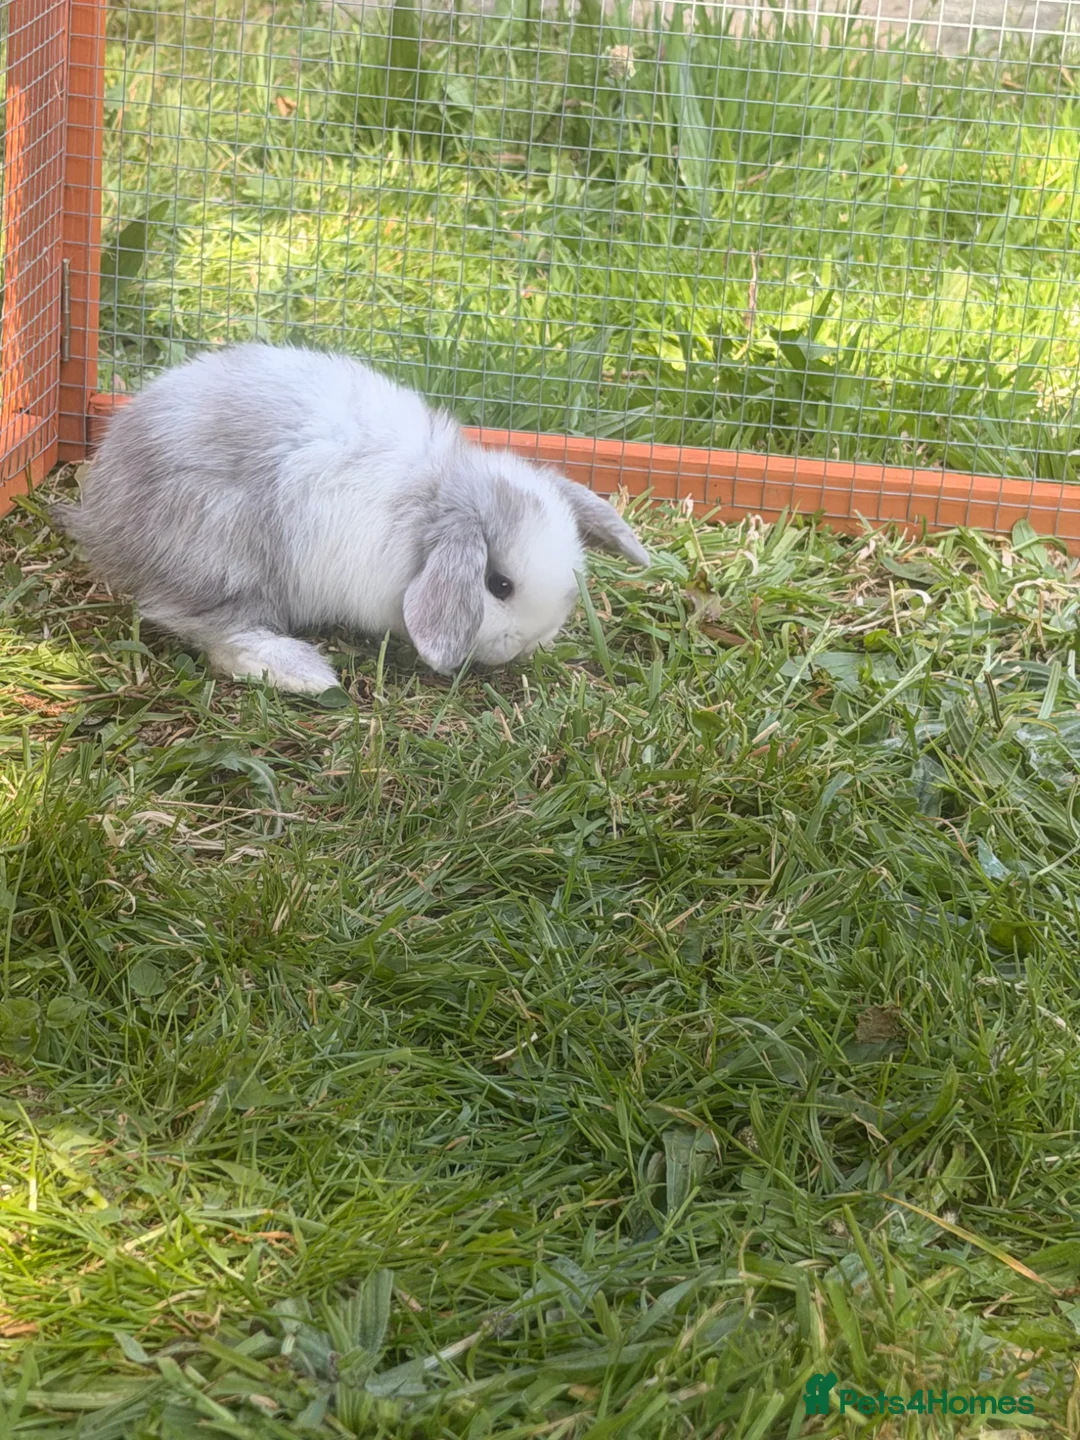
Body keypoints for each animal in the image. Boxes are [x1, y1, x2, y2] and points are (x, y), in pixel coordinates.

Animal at [53, 342, 649, 695]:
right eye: (498, 584)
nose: (526, 645)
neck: (430, 506)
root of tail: (103, 518)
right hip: (223, 557)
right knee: (204, 629)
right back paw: (306, 674)